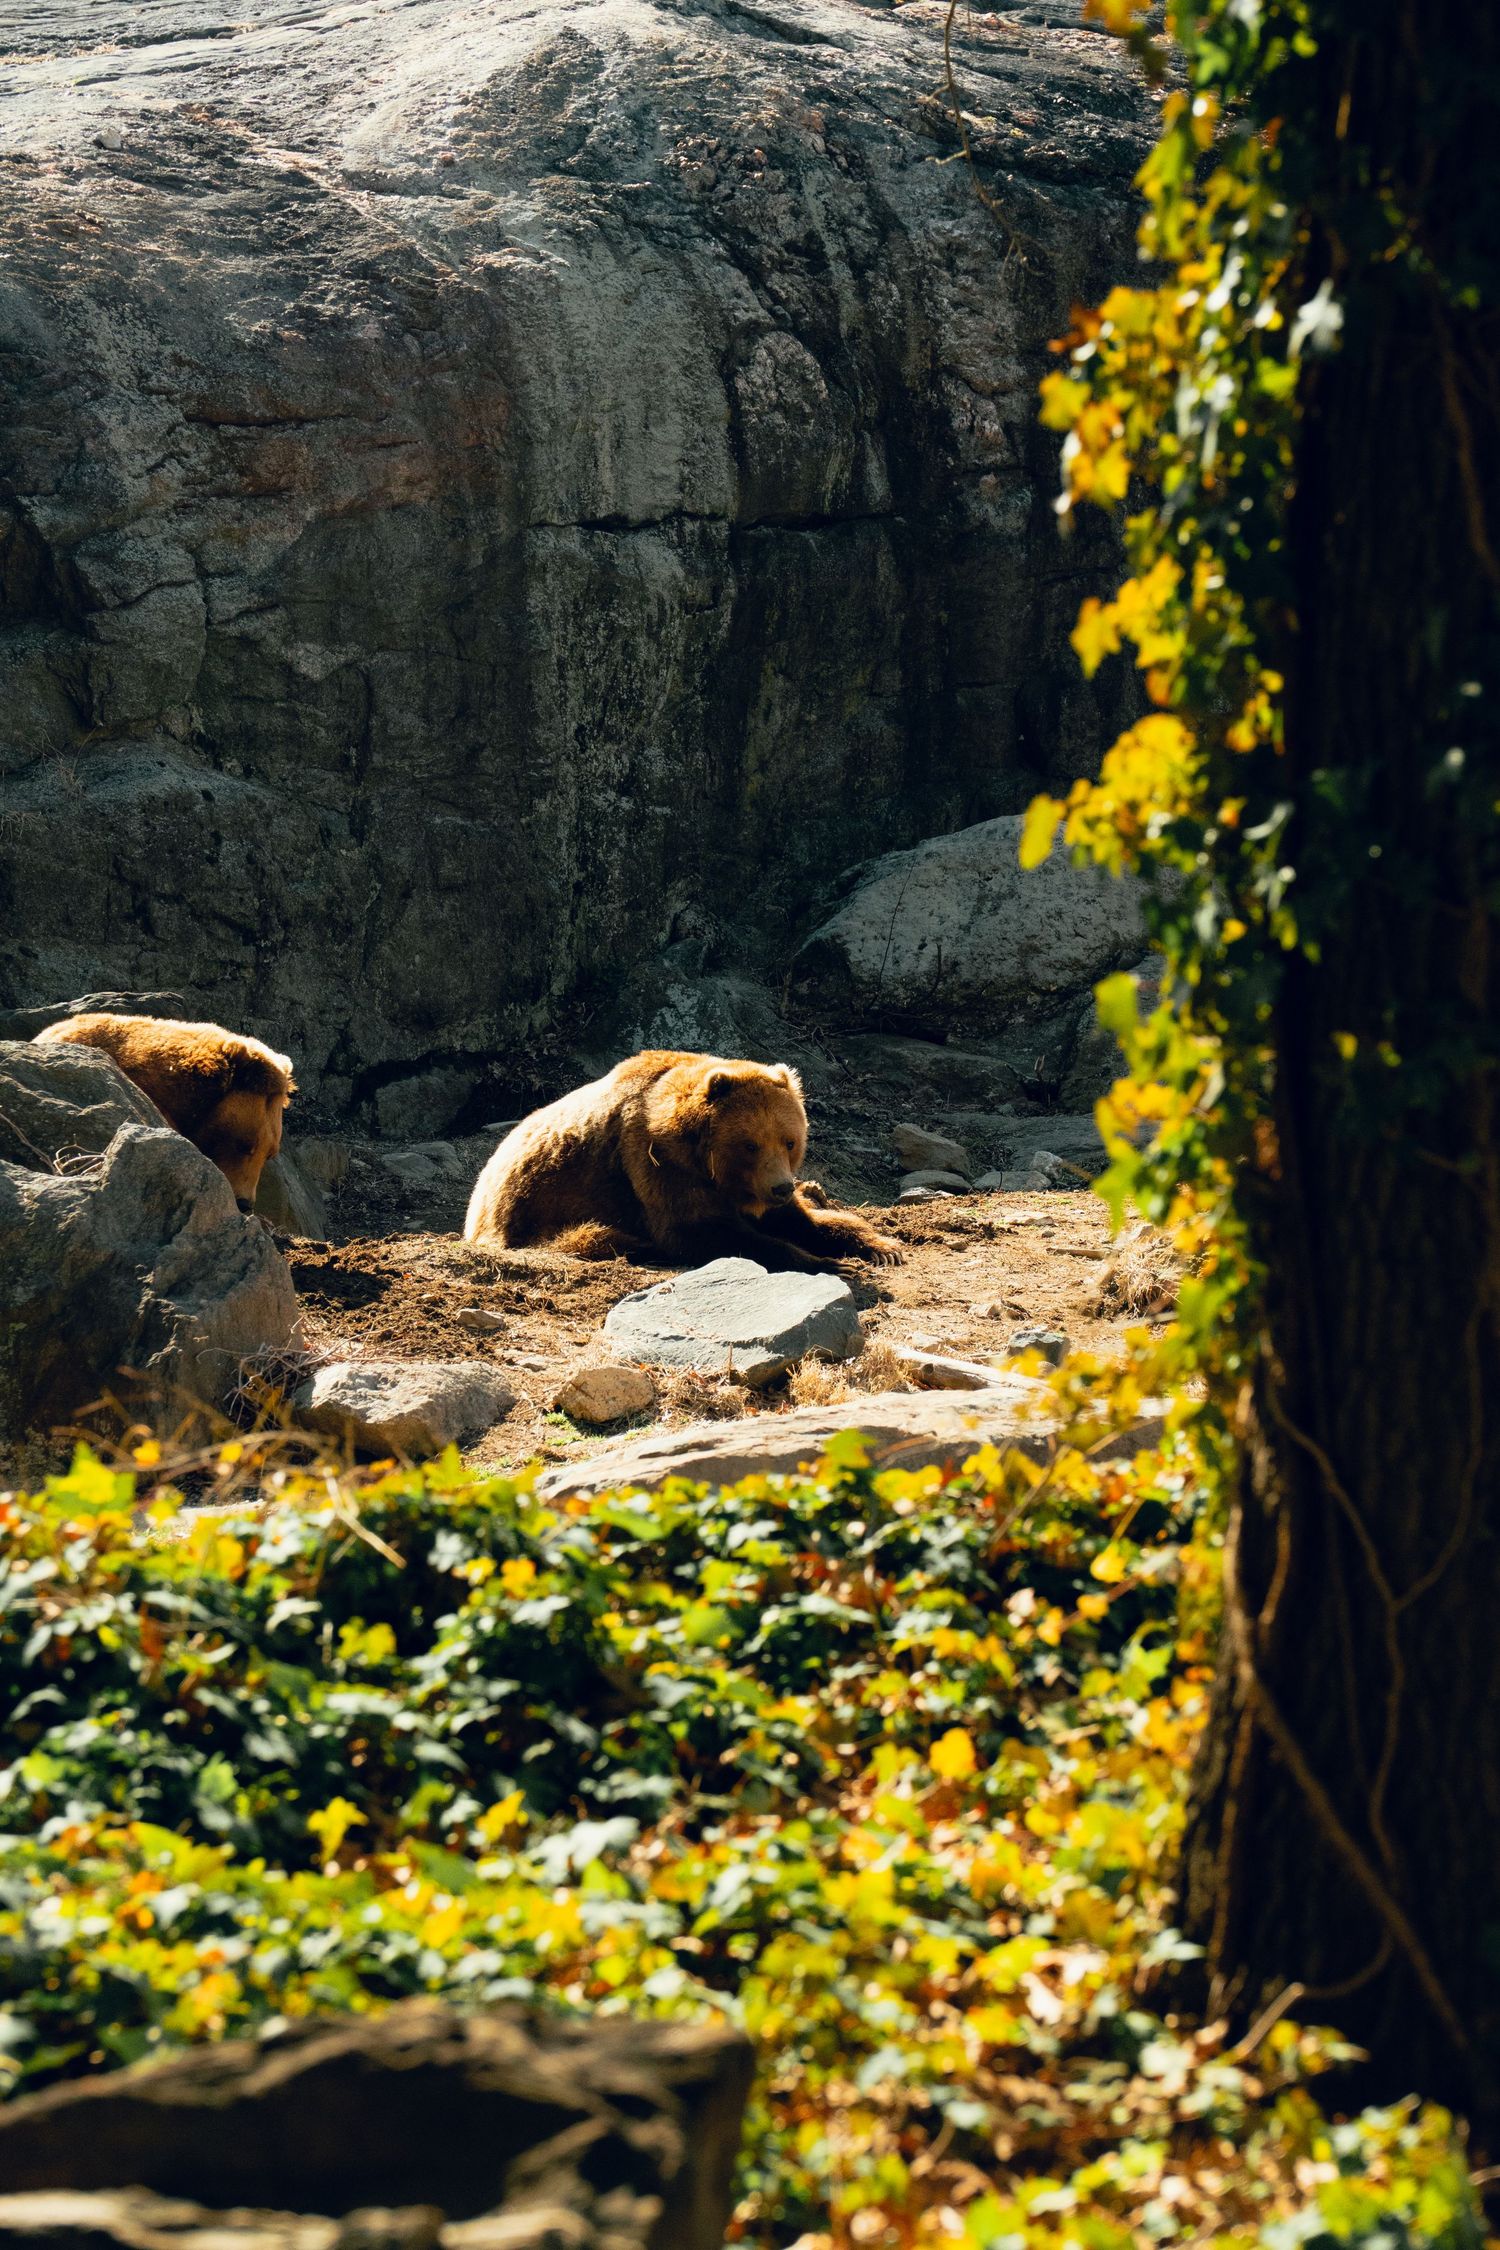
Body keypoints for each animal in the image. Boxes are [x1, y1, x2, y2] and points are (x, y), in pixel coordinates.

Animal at [463, 1049, 902, 1273]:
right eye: (750, 1145)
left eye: (789, 1141)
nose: (780, 1187)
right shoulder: (658, 1164)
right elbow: (702, 1232)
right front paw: (830, 1264)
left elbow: (808, 1221)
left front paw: (882, 1248)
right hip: (533, 1214)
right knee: (593, 1236)